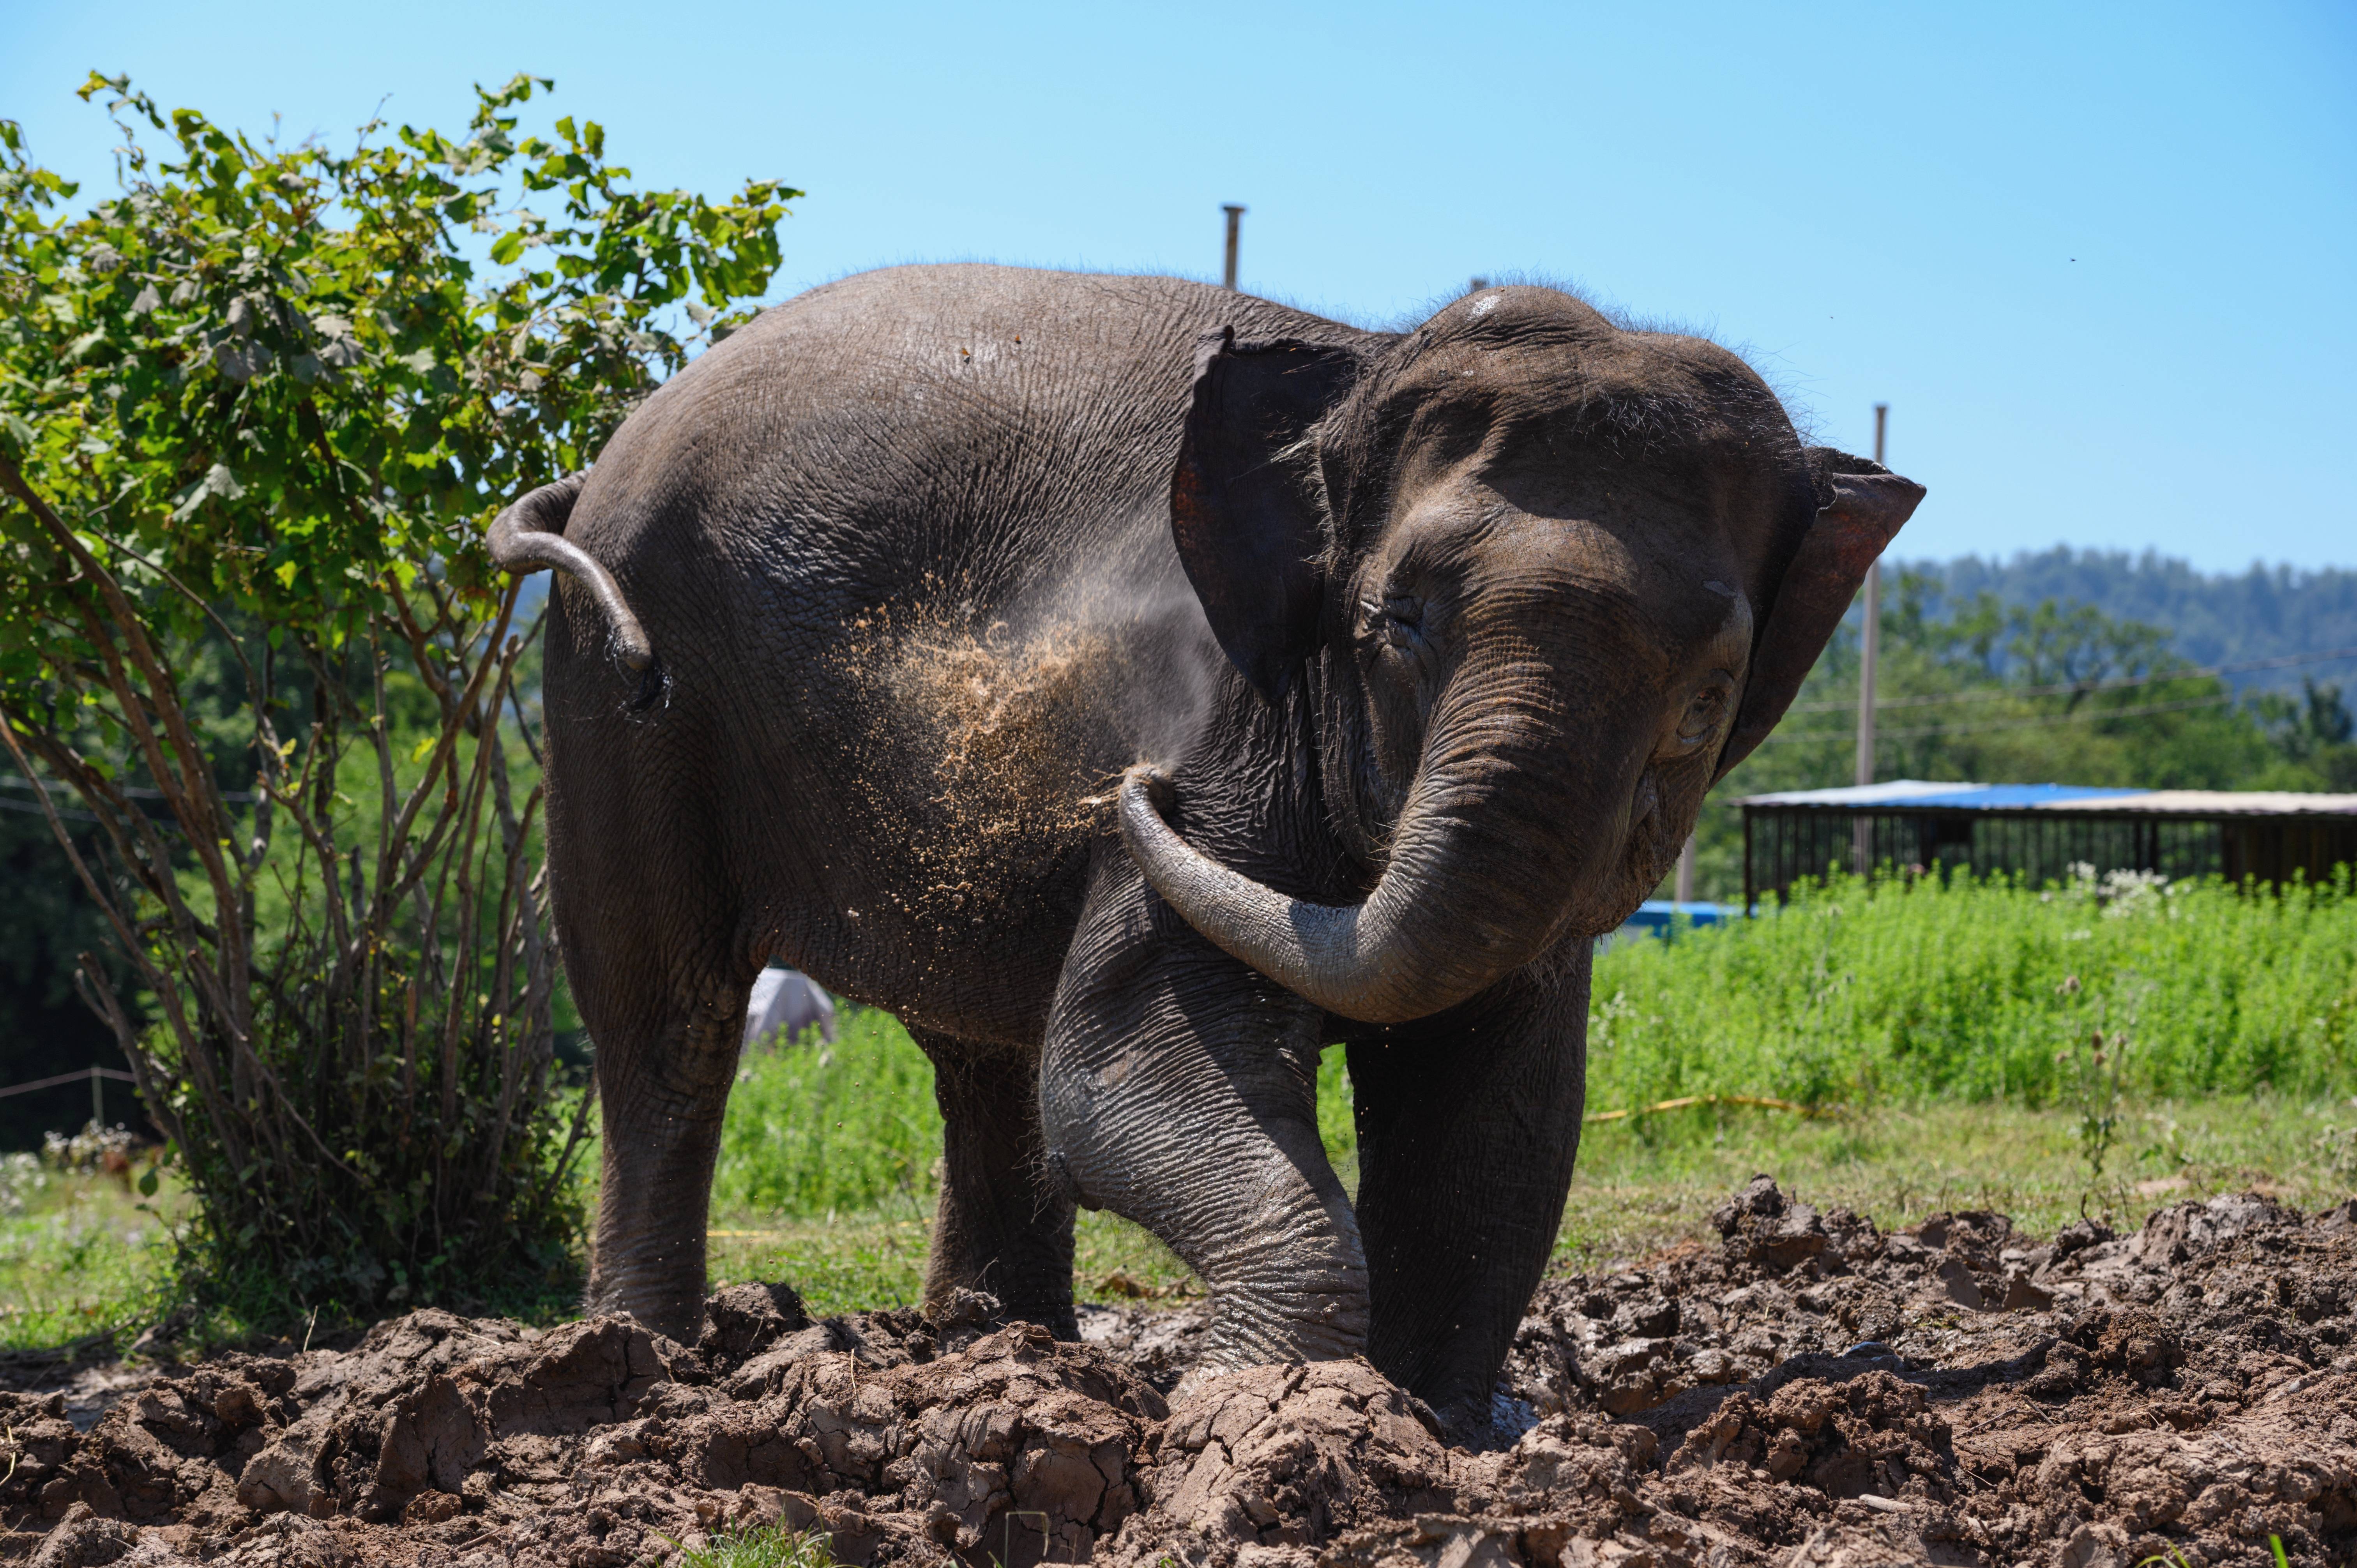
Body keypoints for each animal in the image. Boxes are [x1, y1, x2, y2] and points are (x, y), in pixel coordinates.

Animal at [493, 263, 1914, 1434]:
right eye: (1397, 621)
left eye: (1705, 697)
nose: (1130, 790)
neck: (1363, 361)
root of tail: (602, 455)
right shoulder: (1220, 715)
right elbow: (1132, 1052)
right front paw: (1253, 1398)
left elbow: (1494, 1108)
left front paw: (1442, 1426)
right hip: (617, 696)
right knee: (668, 1020)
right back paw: (653, 1362)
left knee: (987, 1060)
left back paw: (996, 1348)